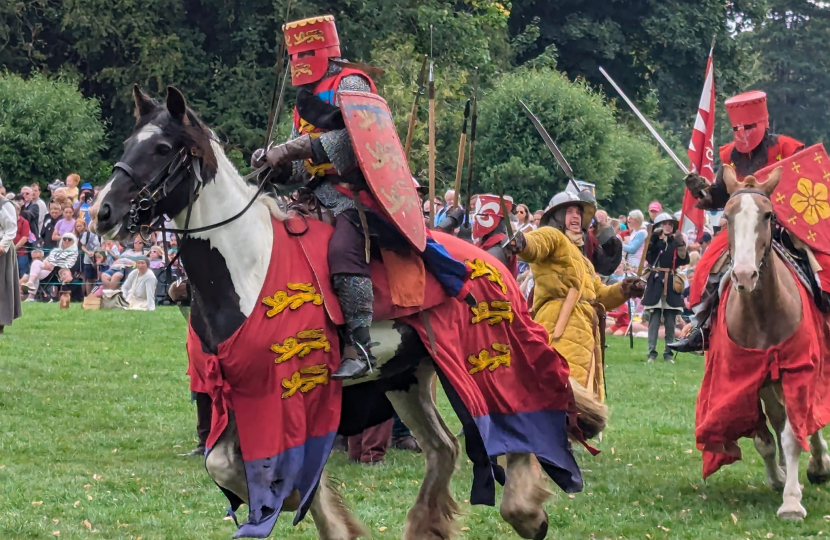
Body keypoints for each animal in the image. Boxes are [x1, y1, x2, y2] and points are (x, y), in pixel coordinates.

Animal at [91, 86, 608, 540]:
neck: (247, 261)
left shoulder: (290, 390)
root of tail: (497, 258)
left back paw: (526, 513)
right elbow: (224, 463)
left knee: (523, 415)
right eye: (128, 144)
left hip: (484, 354)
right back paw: (428, 525)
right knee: (444, 447)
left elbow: (292, 471)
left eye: (161, 148)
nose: (102, 212)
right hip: (407, 373)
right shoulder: (235, 388)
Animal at [720, 165, 830, 520]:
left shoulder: (799, 371)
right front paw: (778, 477)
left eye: (768, 215)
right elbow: (764, 439)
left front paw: (792, 501)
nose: (744, 275)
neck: (761, 314)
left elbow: (796, 432)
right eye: (726, 215)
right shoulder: (747, 379)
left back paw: (819, 463)